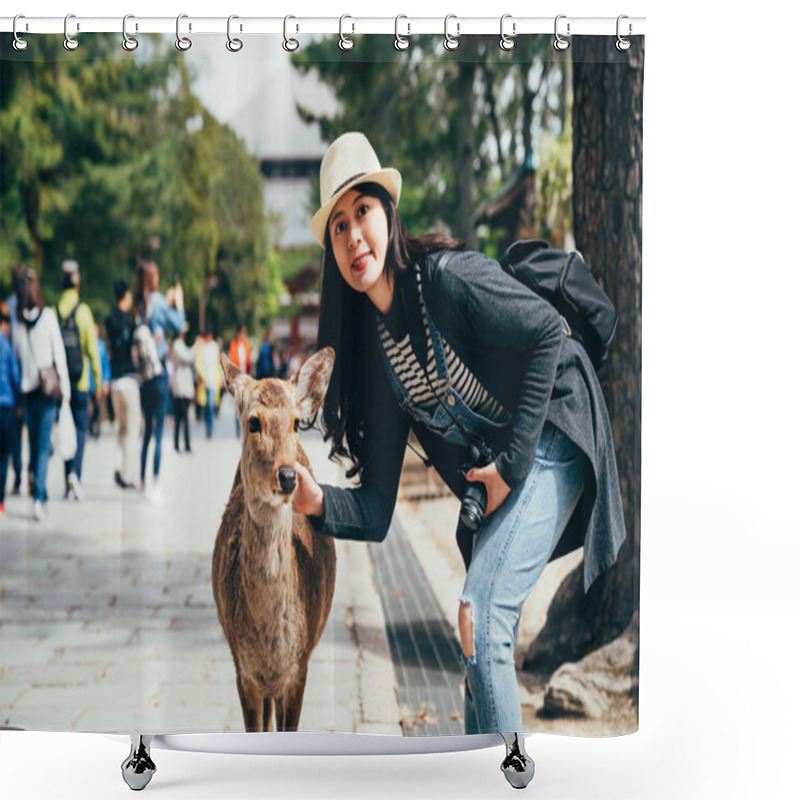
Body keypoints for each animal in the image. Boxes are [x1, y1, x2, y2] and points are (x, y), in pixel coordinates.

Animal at [211, 350, 336, 732]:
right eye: (253, 422)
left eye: (296, 423)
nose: (288, 475)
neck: (272, 649)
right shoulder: (242, 667)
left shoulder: (300, 666)